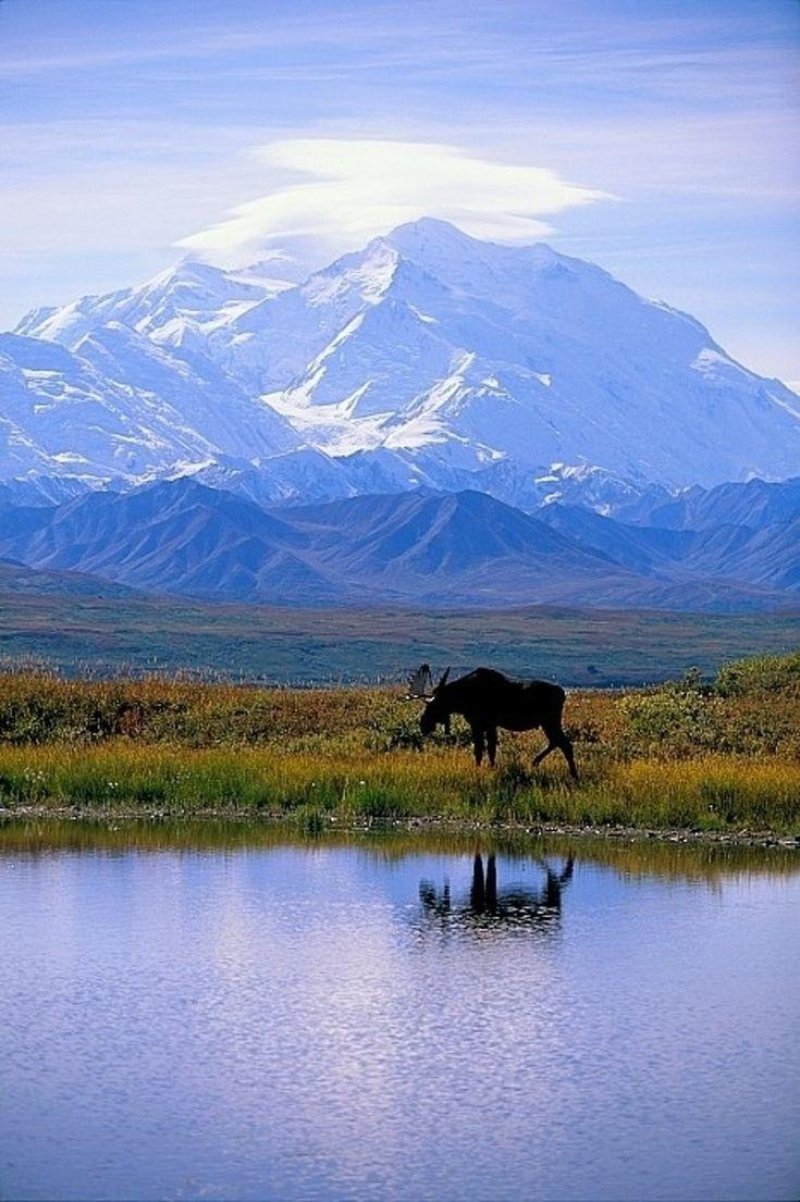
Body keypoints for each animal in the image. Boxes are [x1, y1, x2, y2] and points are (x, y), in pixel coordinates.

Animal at [408, 663, 576, 783]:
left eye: (434, 705)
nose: (423, 724)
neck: (462, 699)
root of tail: (563, 694)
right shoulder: (488, 725)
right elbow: (487, 750)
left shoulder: (483, 724)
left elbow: (483, 750)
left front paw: (484, 770)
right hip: (547, 723)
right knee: (556, 742)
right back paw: (537, 762)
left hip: (550, 721)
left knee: (565, 744)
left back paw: (573, 775)